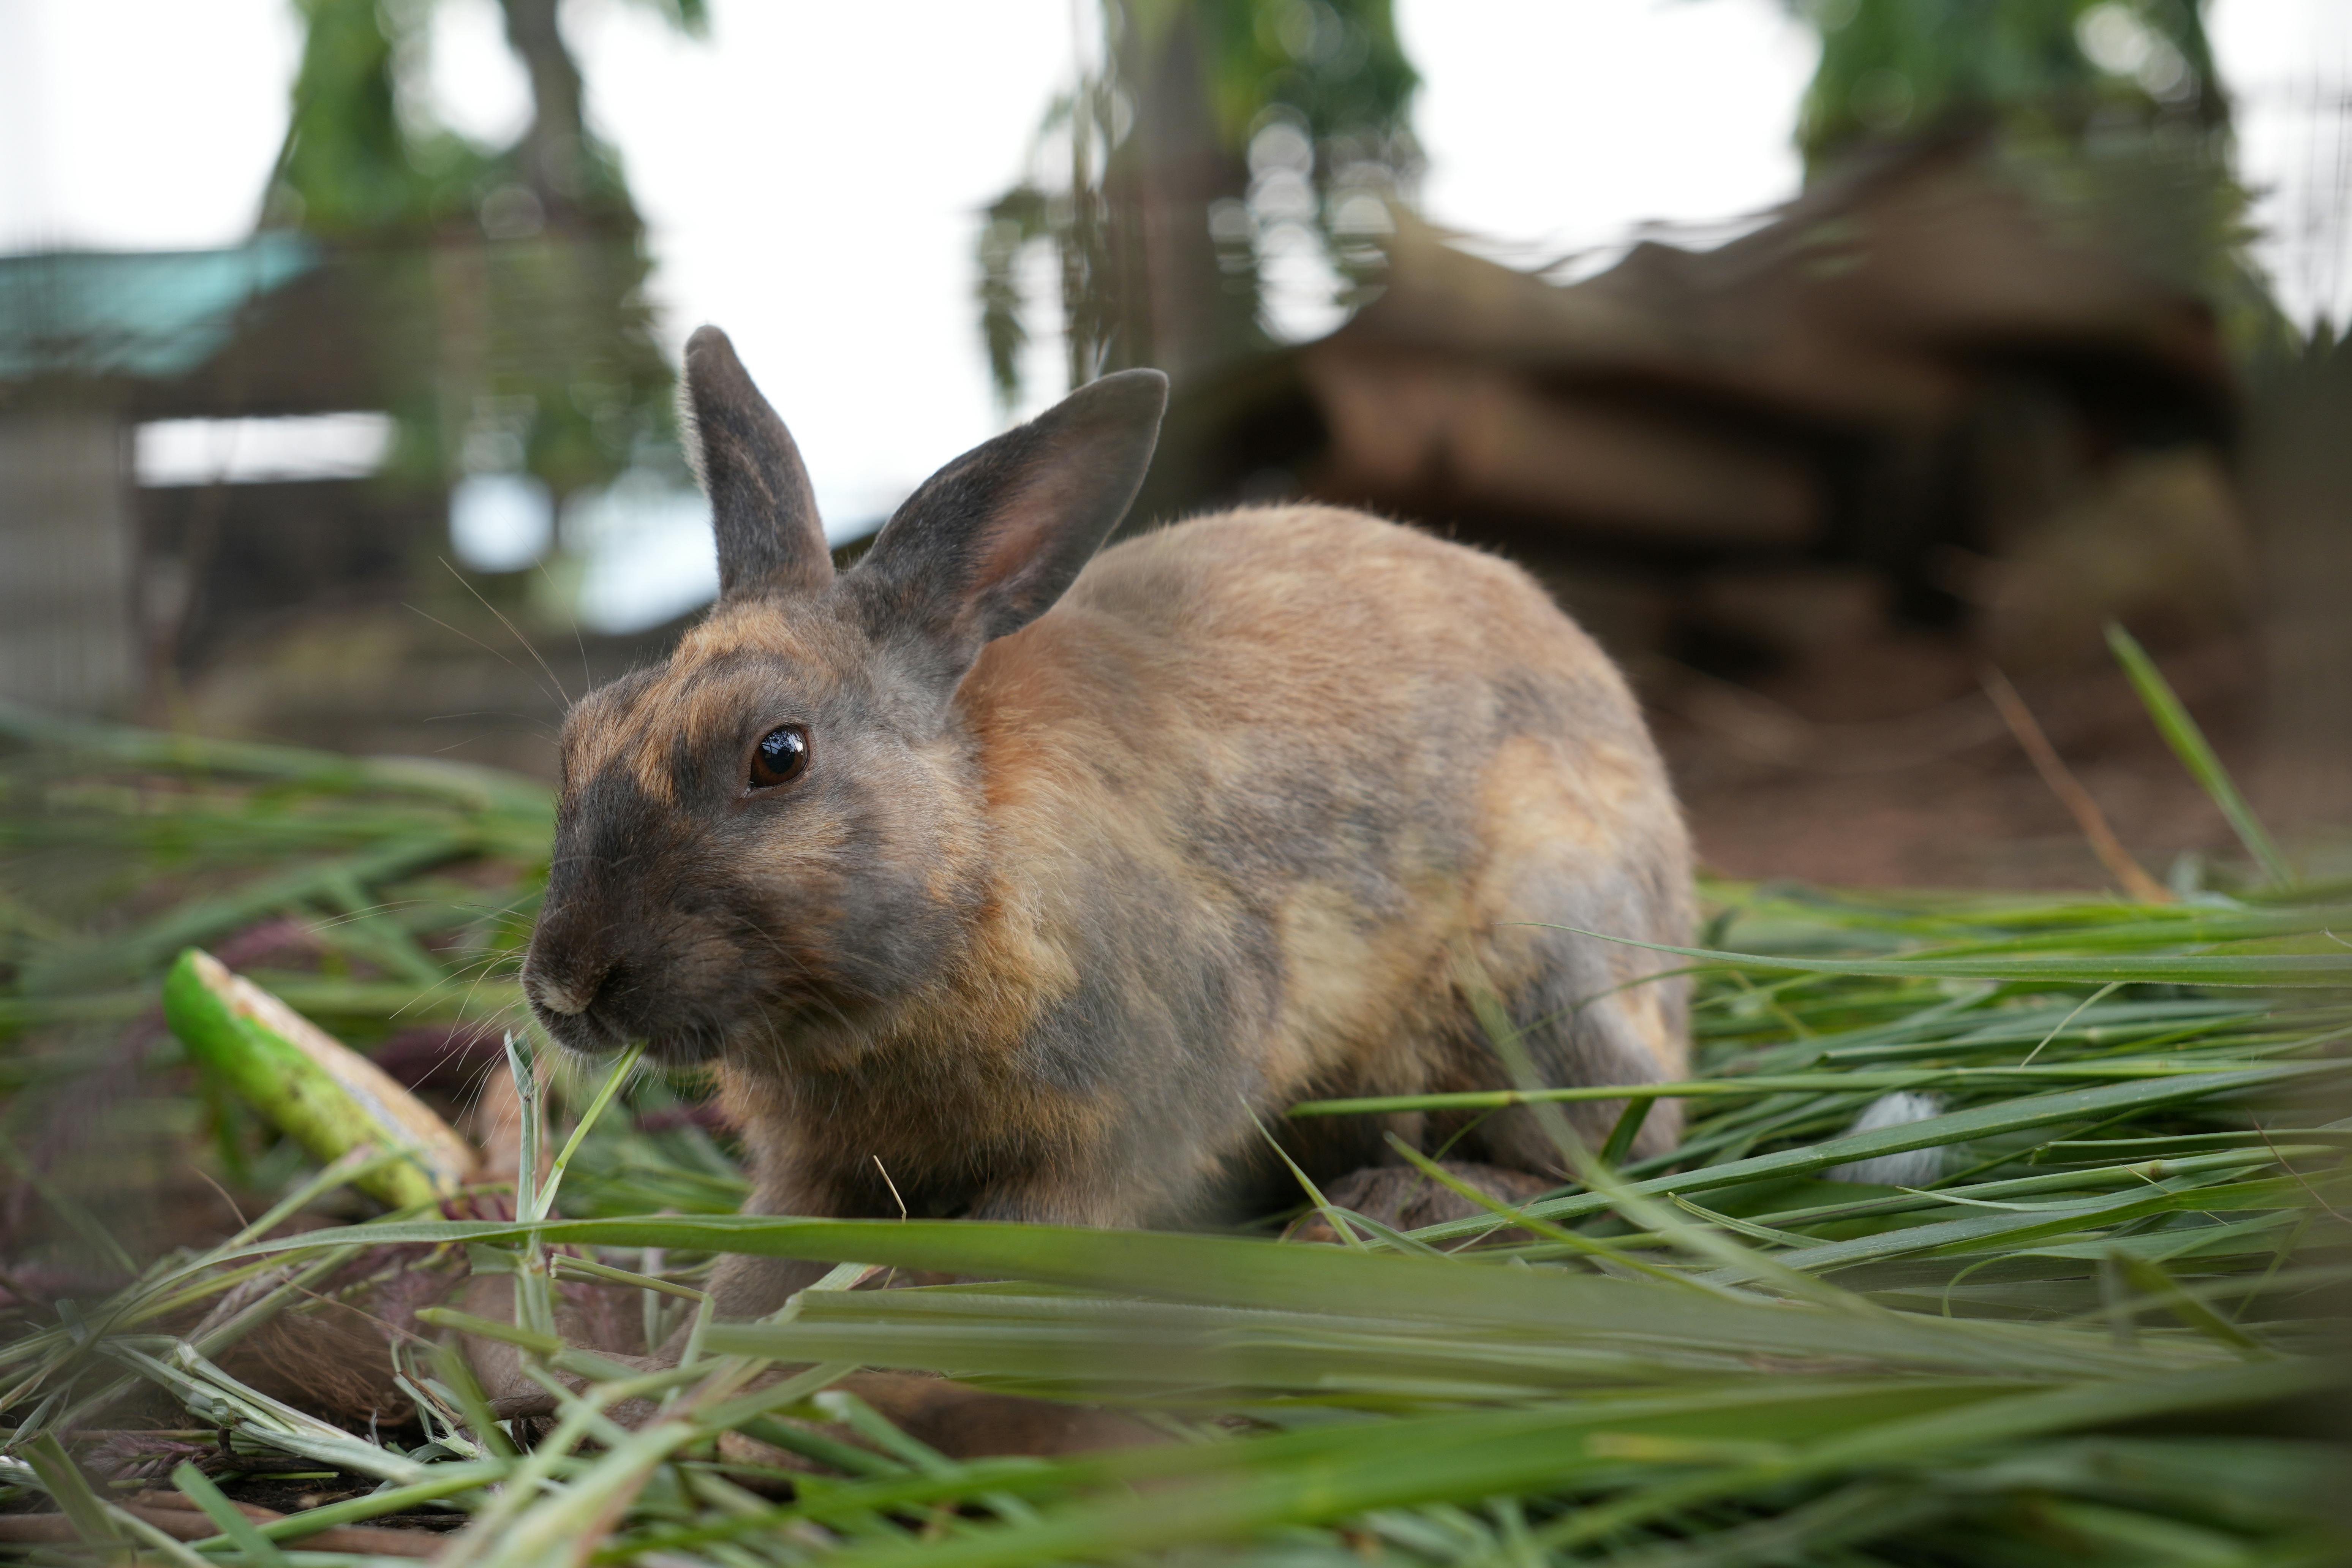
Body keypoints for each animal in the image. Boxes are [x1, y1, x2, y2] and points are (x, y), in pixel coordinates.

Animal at [522, 325, 1694, 1323]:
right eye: (580, 733)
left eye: (779, 754)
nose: (564, 989)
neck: (970, 868)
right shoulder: (817, 1173)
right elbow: (764, 1261)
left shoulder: (1119, 1132)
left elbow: (1031, 1225)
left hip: (1532, 973)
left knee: (1586, 1154)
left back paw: (1392, 1210)